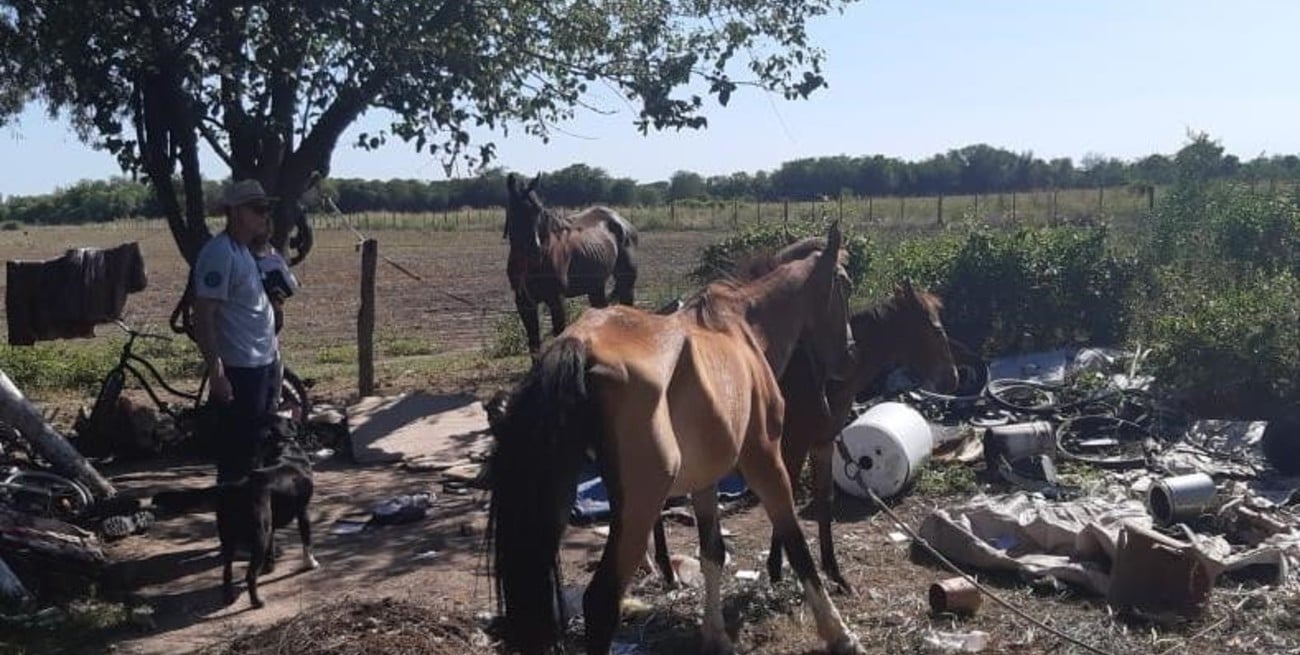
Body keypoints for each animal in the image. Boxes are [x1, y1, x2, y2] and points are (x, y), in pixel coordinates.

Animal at [215, 415, 319, 605]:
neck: (286, 447)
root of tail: (240, 490)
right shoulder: (303, 512)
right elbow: (306, 541)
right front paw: (310, 563)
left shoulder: (273, 525)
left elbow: (272, 547)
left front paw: (269, 567)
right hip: (259, 535)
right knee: (249, 574)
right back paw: (257, 602)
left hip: (229, 538)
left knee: (227, 571)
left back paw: (229, 597)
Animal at [491, 223, 868, 655]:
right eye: (845, 284)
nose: (851, 357)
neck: (741, 327)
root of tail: (578, 347)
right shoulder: (765, 460)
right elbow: (796, 545)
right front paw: (839, 633)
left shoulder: (704, 479)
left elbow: (713, 554)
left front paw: (715, 634)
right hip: (641, 505)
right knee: (600, 601)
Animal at [501, 172, 634, 353]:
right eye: (514, 210)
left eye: (538, 211)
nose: (534, 250)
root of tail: (619, 220)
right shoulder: (524, 303)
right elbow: (534, 343)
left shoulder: (556, 299)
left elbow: (559, 334)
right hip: (595, 286)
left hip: (625, 278)